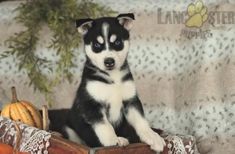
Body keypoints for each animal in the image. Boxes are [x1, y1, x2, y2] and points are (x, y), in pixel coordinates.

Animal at [64, 13, 165, 152]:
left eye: (117, 42)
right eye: (97, 45)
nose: (109, 61)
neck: (113, 78)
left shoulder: (131, 100)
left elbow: (141, 120)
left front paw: (152, 136)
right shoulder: (91, 104)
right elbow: (105, 125)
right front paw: (113, 141)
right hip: (70, 128)